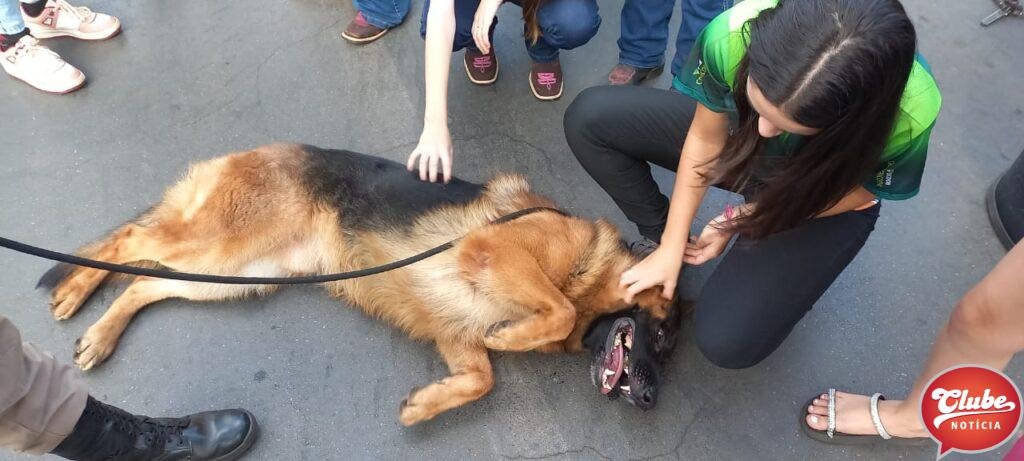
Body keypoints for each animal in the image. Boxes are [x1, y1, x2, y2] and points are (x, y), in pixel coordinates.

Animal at [40, 144, 678, 425]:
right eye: (662, 337)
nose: (651, 401)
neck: (588, 271)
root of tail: (247, 153)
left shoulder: (454, 333)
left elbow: (480, 380)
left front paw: (426, 405)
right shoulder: (494, 251)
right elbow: (555, 313)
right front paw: (513, 335)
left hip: (234, 275)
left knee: (146, 283)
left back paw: (101, 332)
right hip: (221, 247)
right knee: (129, 242)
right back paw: (74, 290)